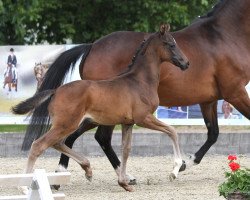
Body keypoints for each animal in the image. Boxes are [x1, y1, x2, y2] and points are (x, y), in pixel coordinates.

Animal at [11, 24, 188, 191]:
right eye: (171, 44)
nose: (186, 63)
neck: (139, 81)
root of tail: (56, 91)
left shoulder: (128, 123)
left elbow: (126, 149)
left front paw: (124, 182)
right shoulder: (143, 118)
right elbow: (172, 131)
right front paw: (176, 169)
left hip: (69, 124)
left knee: (58, 143)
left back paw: (87, 169)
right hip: (67, 124)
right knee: (39, 145)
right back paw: (23, 186)